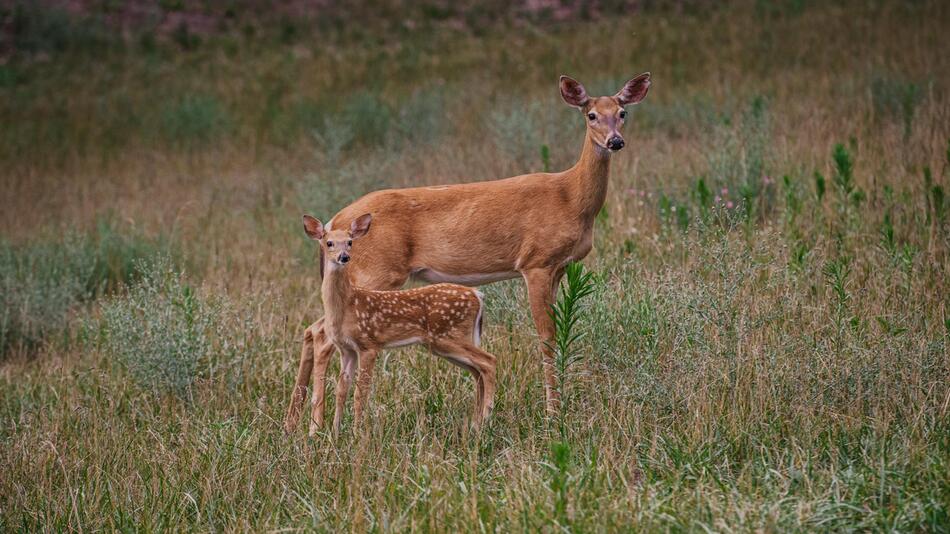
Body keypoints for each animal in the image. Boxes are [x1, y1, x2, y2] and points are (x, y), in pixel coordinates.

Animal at [286, 72, 652, 436]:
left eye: (622, 113)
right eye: (591, 115)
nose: (615, 141)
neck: (571, 198)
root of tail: (335, 220)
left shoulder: (560, 267)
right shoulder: (536, 261)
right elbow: (547, 336)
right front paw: (553, 414)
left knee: (312, 329)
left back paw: (293, 423)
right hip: (374, 271)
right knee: (322, 333)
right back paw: (315, 426)